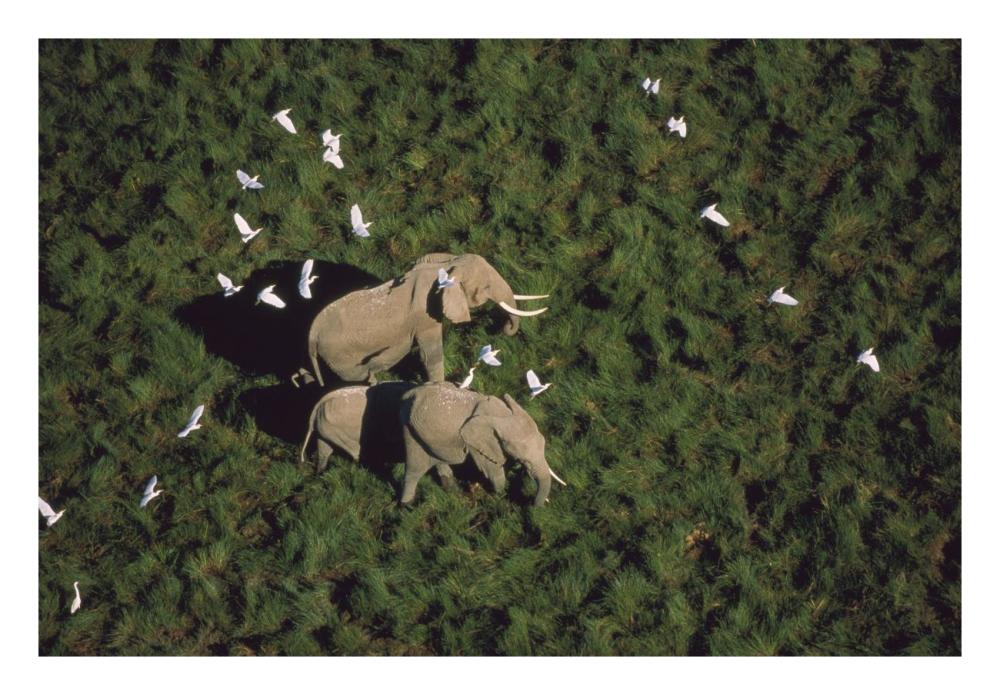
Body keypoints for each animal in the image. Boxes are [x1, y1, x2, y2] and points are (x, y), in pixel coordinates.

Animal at [307, 253, 548, 386]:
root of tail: (311, 336)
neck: (446, 268)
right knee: (357, 376)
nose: (504, 328)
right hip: (338, 355)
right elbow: (430, 354)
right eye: (487, 287)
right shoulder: (424, 318)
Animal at [397, 382, 561, 507]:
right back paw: (407, 506)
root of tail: (409, 393)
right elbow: (493, 471)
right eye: (524, 459)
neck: (502, 414)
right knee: (415, 469)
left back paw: (453, 490)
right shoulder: (477, 442)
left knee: (439, 459)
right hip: (408, 426)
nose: (534, 505)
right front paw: (501, 497)